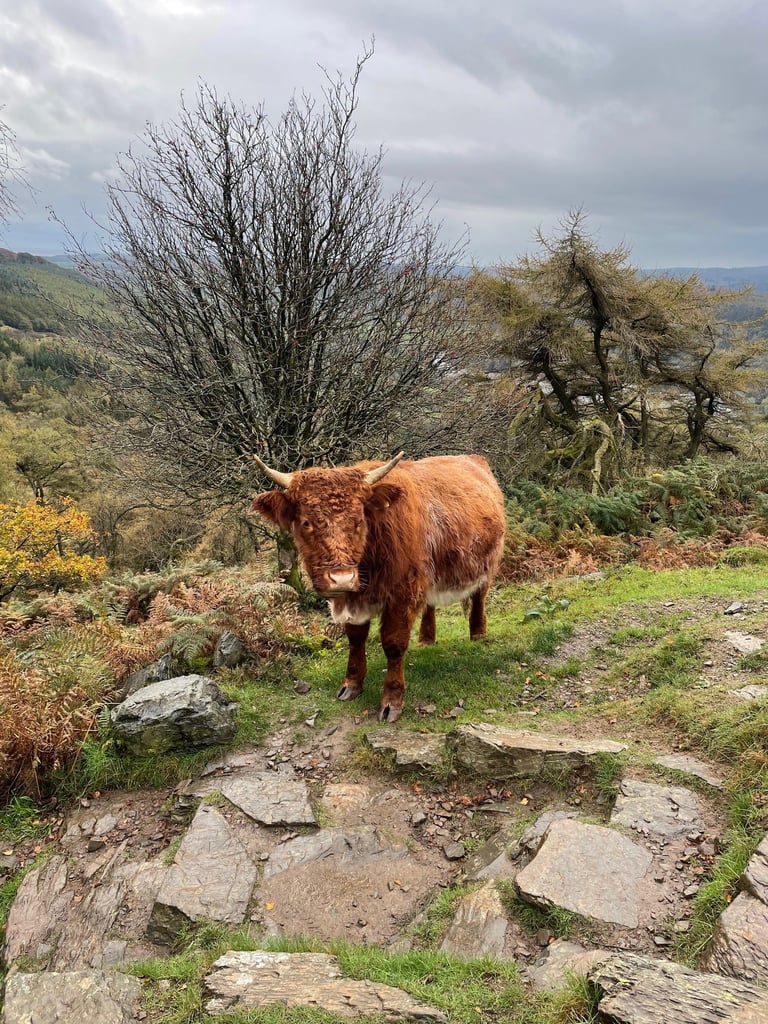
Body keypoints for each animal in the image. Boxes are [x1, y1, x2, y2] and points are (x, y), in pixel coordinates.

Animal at [251, 451, 506, 723]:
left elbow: (393, 644)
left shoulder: (403, 594)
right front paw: (351, 684)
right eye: (306, 522)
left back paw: (477, 633)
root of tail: (473, 458)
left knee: (479, 596)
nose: (342, 578)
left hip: (488, 562)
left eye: (358, 521)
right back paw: (426, 638)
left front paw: (391, 702)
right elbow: (355, 639)